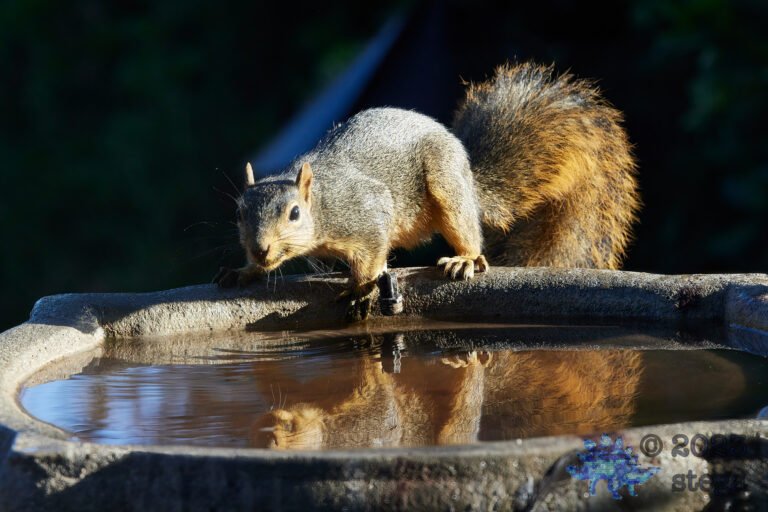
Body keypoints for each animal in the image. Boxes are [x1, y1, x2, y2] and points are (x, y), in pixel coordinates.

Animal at [214, 62, 639, 320]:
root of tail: (469, 177)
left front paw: (359, 290)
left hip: (446, 185)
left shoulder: (367, 213)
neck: (322, 203)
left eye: (294, 213)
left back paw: (464, 259)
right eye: (238, 214)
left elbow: (371, 257)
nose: (260, 249)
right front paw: (244, 270)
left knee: (468, 232)